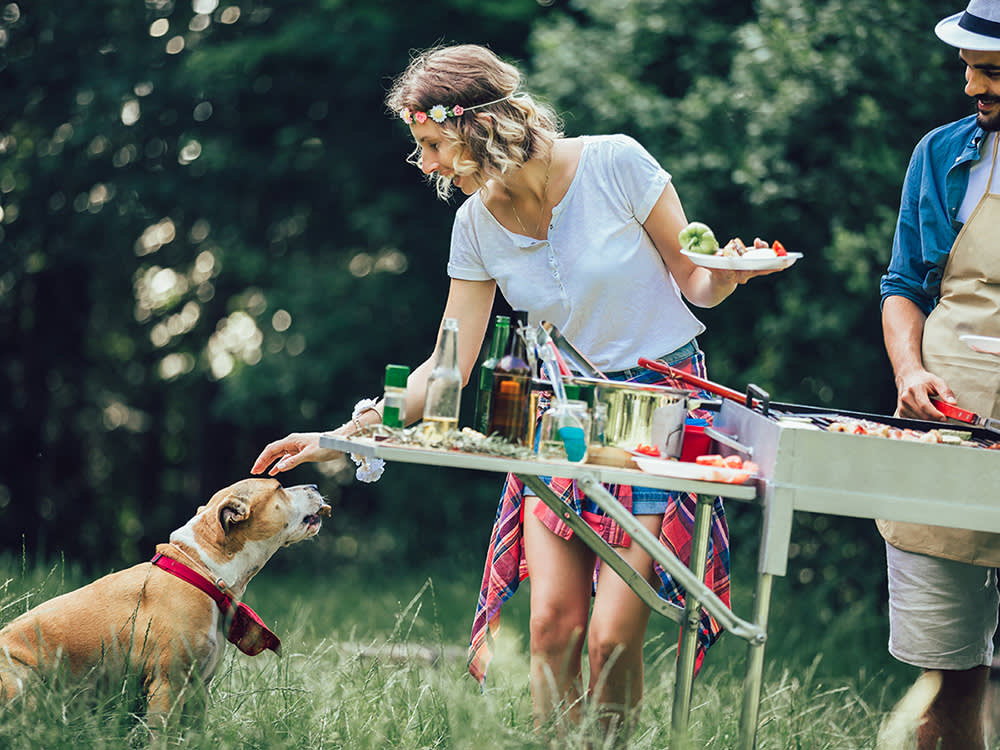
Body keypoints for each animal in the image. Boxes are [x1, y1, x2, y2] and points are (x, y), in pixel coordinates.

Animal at [0, 478, 332, 732]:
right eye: (279, 488)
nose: (316, 485)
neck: (201, 570)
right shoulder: (167, 686)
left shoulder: (199, 689)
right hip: (23, 683)